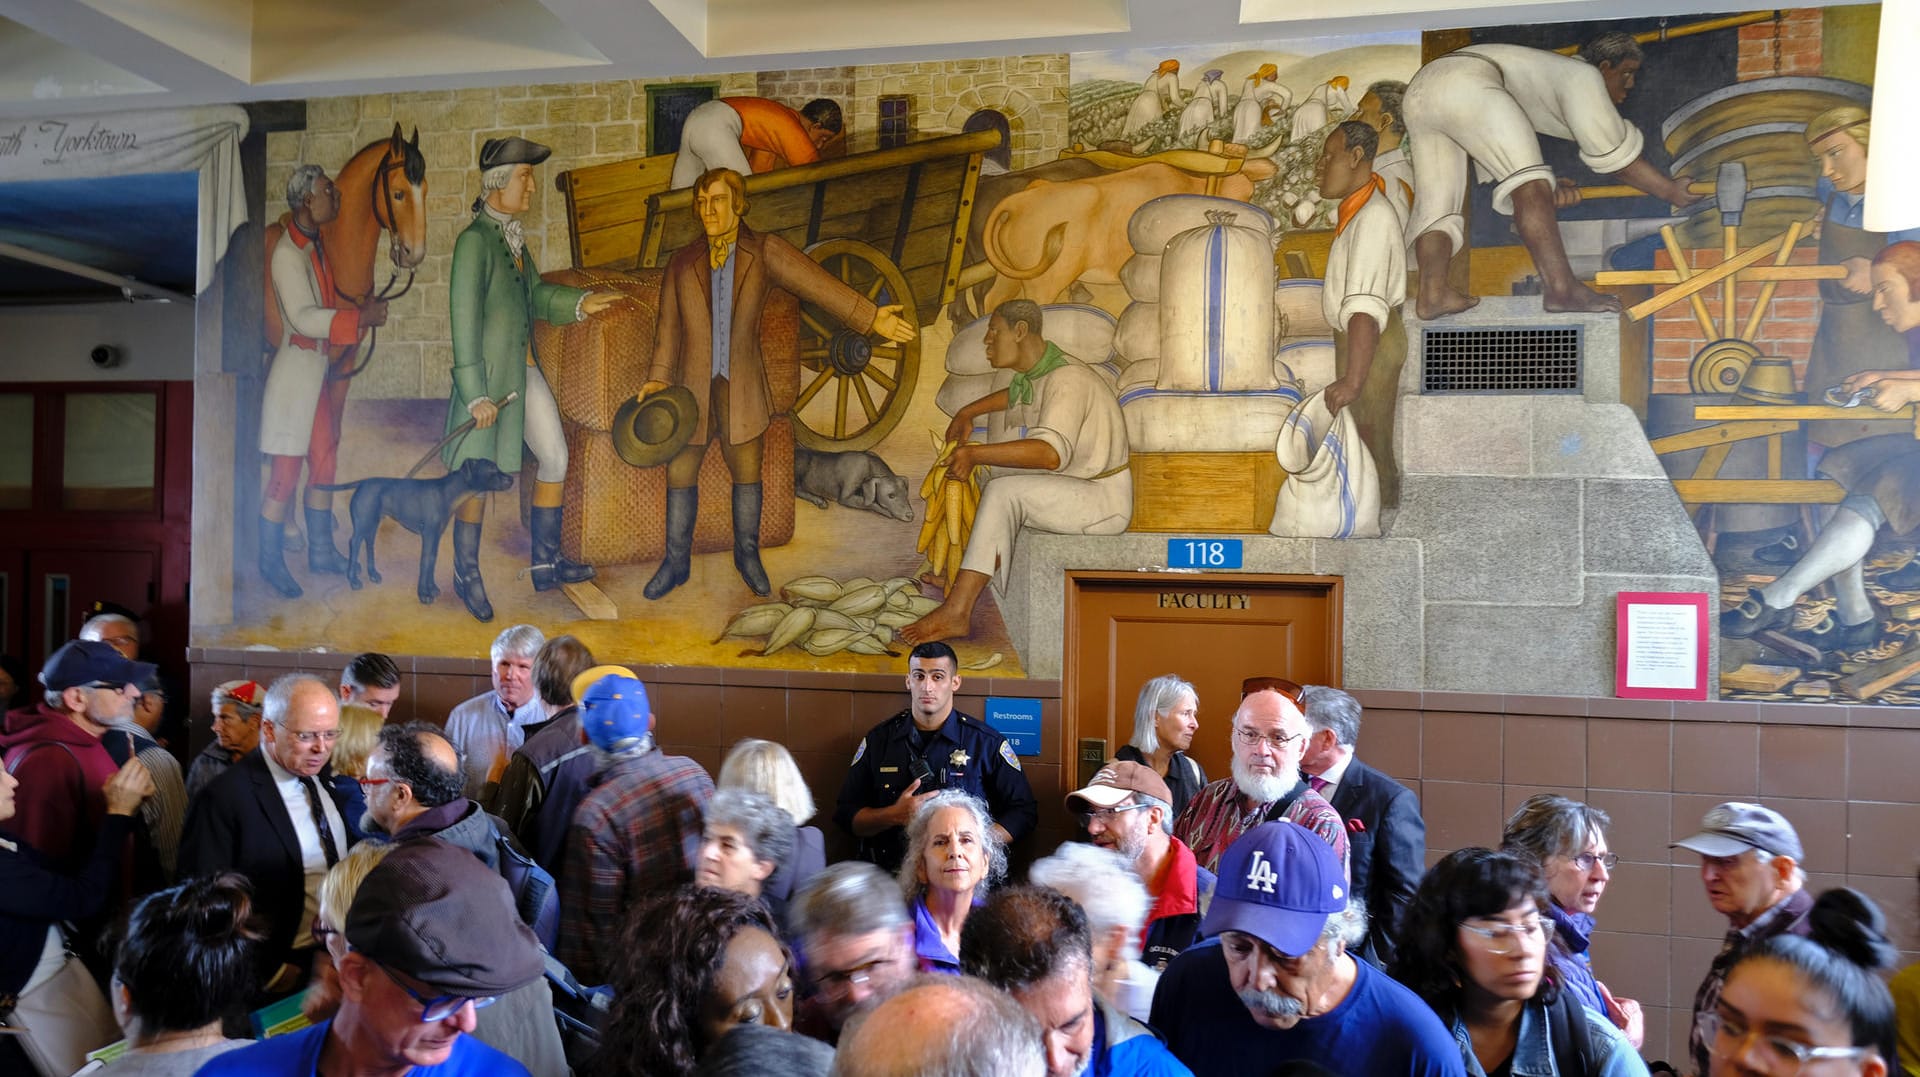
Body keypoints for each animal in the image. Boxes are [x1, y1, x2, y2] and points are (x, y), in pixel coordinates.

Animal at [309, 454, 514, 598]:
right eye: (492, 469)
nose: (511, 479)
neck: (447, 493)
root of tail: (364, 482)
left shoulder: (435, 537)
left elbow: (431, 562)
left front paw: (432, 588)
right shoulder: (429, 535)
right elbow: (425, 563)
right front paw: (423, 593)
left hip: (373, 524)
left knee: (369, 544)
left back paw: (373, 574)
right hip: (362, 524)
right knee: (354, 543)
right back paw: (353, 580)